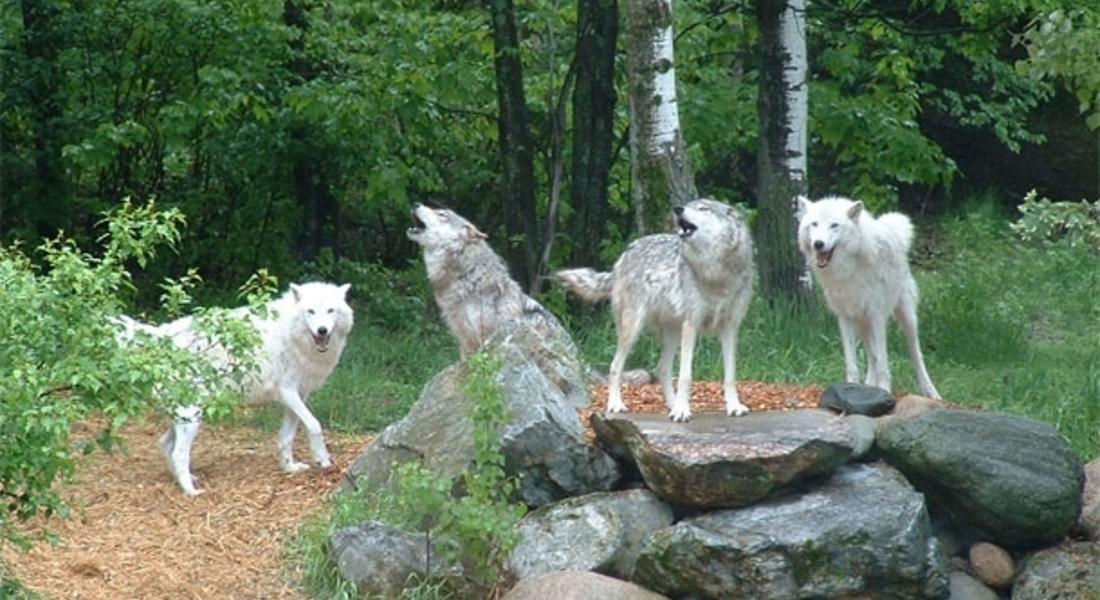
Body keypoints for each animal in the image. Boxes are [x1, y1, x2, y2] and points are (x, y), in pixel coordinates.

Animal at [119, 281, 352, 495]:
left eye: (330, 310)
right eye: (310, 311)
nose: (322, 330)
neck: (291, 334)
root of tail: (162, 334)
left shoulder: (298, 397)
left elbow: (286, 438)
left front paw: (289, 467)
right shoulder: (288, 392)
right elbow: (315, 425)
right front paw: (322, 459)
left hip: (186, 415)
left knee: (165, 444)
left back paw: (187, 480)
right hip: (192, 415)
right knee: (178, 453)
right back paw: (191, 492)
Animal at [554, 199, 752, 418]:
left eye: (703, 208)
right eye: (690, 205)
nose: (678, 209)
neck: (716, 274)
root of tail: (626, 253)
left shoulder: (730, 327)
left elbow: (730, 375)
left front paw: (734, 406)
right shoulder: (691, 324)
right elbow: (685, 376)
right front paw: (682, 411)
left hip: (673, 333)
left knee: (662, 369)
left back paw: (672, 405)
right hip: (633, 329)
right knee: (615, 367)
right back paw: (616, 405)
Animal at [796, 193, 941, 398]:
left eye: (834, 225)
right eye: (814, 224)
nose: (818, 244)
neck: (847, 270)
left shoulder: (877, 315)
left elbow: (883, 362)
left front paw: (885, 390)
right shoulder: (845, 317)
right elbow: (853, 362)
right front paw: (851, 387)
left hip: (906, 318)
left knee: (915, 355)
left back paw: (930, 392)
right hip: (861, 323)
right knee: (872, 355)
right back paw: (869, 386)